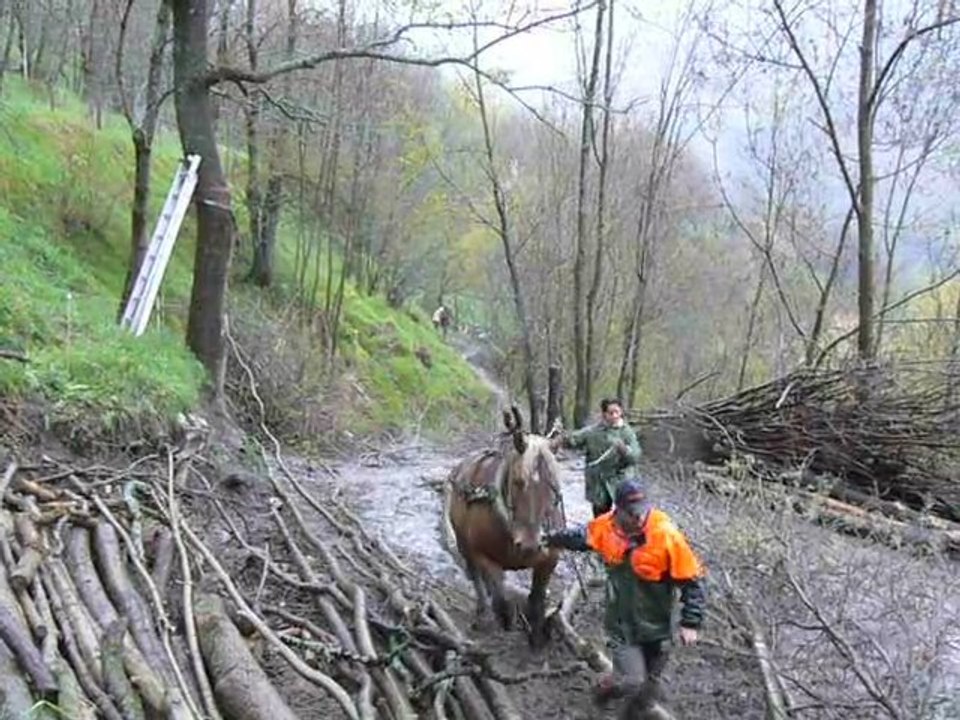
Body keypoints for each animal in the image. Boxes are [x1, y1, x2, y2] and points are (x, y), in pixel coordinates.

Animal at [443, 406, 563, 648]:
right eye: (518, 481)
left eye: (553, 485)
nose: (530, 545)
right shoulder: (481, 553)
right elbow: (501, 597)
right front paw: (506, 619)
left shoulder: (549, 559)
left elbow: (537, 599)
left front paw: (537, 635)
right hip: (462, 542)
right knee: (476, 576)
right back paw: (483, 613)